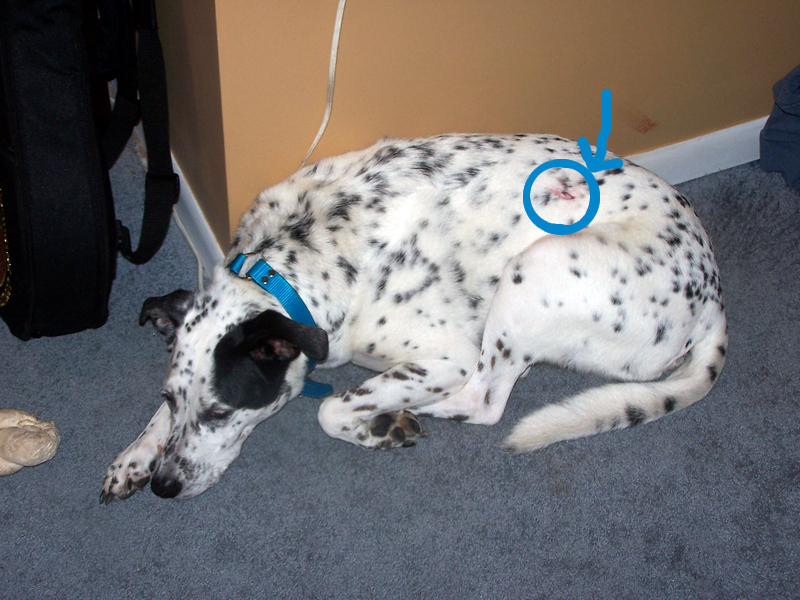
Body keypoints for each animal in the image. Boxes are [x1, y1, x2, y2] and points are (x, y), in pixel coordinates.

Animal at [100, 134, 727, 502]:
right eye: (174, 399)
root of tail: (714, 297)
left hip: (534, 268)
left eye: (222, 411)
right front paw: (134, 455)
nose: (163, 486)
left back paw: (408, 413)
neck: (290, 261)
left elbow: (331, 408)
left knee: (485, 403)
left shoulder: (443, 357)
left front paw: (373, 424)